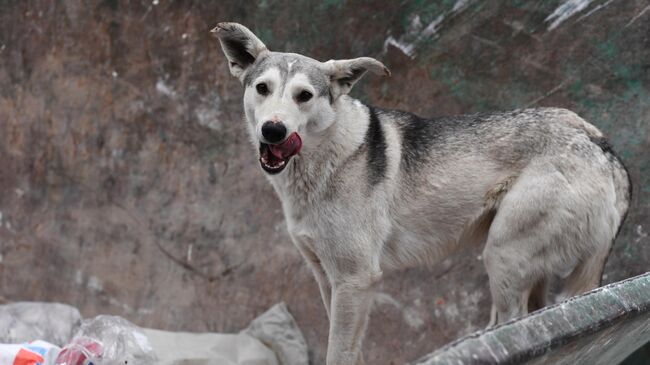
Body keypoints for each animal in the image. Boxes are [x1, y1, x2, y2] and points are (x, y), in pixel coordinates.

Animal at [211, 22, 628, 364]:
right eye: (262, 88)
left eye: (304, 96)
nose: (273, 130)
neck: (326, 159)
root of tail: (602, 146)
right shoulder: (327, 277)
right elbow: (348, 347)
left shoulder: (355, 279)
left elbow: (338, 351)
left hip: (503, 256)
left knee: (516, 323)